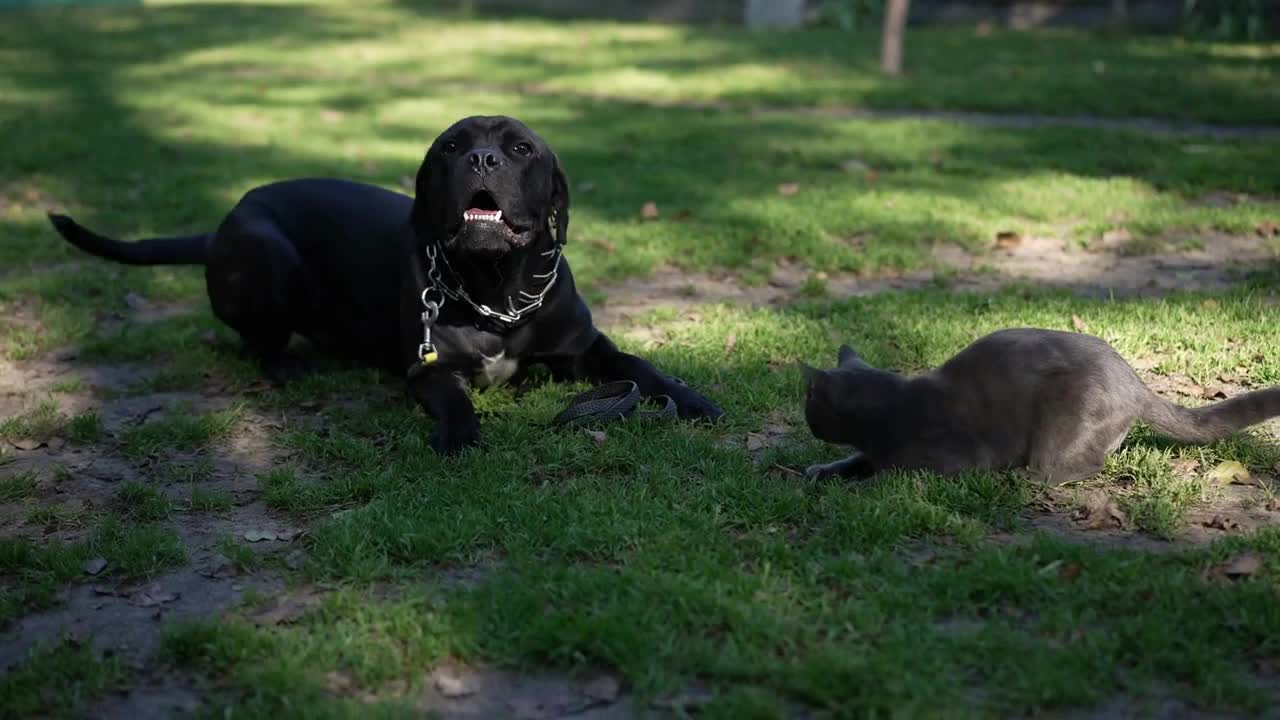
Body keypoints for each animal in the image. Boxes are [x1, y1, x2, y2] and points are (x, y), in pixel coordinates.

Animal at [49, 114, 727, 450]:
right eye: (451, 147)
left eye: (519, 149)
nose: (482, 159)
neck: (497, 290)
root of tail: (218, 229)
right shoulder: (426, 369)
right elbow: (454, 397)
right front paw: (460, 435)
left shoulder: (584, 349)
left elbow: (641, 367)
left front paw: (691, 399)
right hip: (269, 253)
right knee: (255, 342)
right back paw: (288, 365)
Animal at [798, 327, 1280, 484]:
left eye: (808, 403)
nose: (806, 422)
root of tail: (1136, 382)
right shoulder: (871, 451)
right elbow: (855, 461)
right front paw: (822, 471)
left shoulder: (953, 460)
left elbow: (890, 476)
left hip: (1062, 423)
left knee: (1080, 464)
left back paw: (1023, 478)